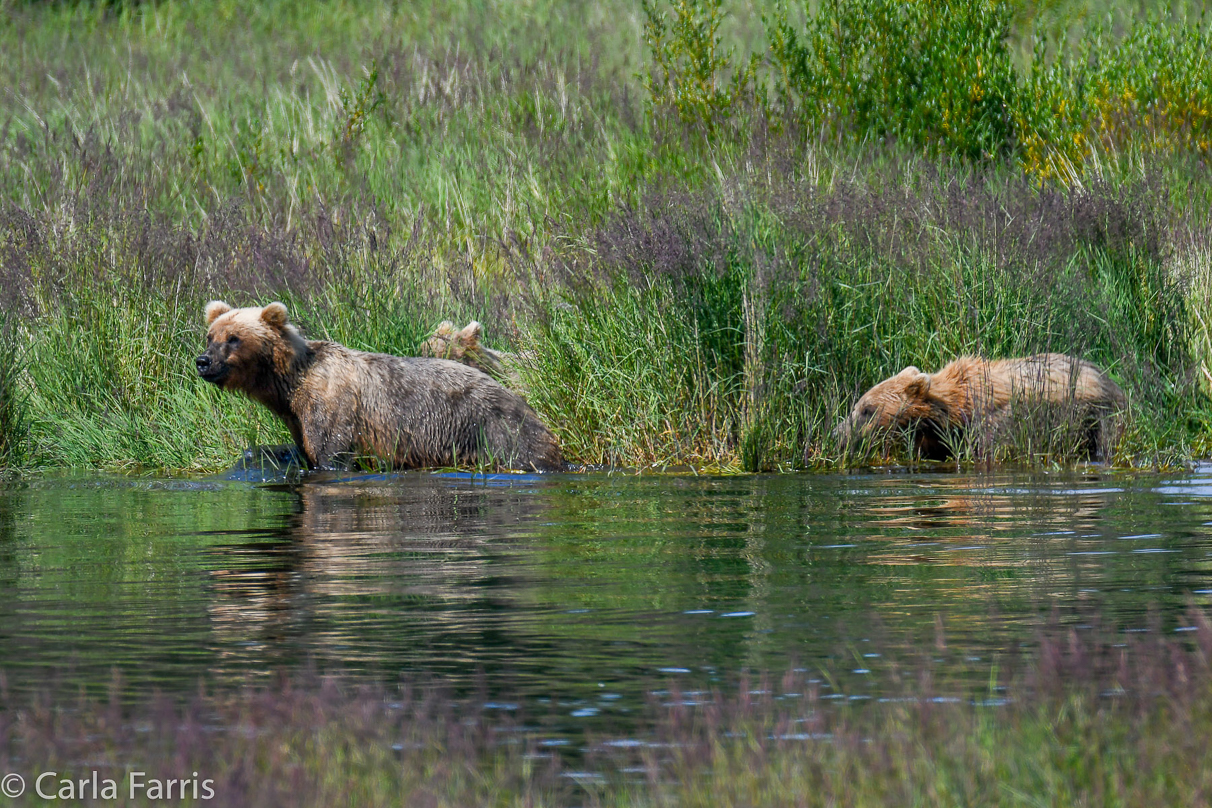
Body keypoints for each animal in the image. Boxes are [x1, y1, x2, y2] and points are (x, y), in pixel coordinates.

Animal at [195, 300, 562, 470]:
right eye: (211, 336)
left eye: (234, 338)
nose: (203, 361)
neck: (289, 384)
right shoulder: (297, 418)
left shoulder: (333, 407)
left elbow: (331, 454)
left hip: (492, 428)